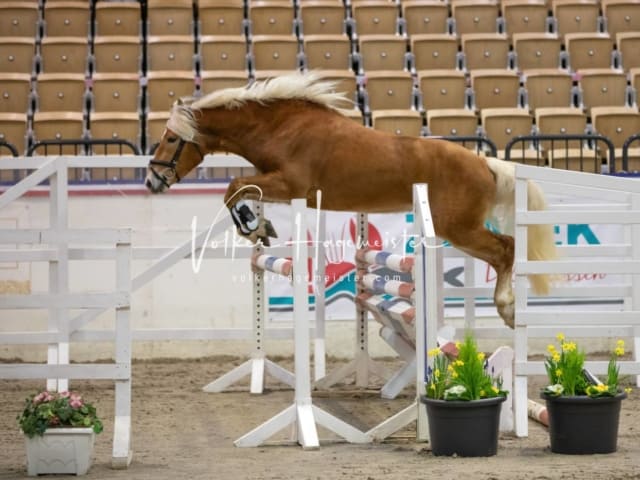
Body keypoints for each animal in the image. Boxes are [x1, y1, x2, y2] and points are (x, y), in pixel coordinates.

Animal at [145, 71, 556, 326]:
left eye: (170, 139)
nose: (152, 180)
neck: (280, 128)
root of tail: (485, 162)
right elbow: (240, 190)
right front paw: (259, 226)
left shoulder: (291, 186)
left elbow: (234, 188)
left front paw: (254, 227)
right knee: (505, 250)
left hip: (458, 227)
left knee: (506, 248)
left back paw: (508, 310)